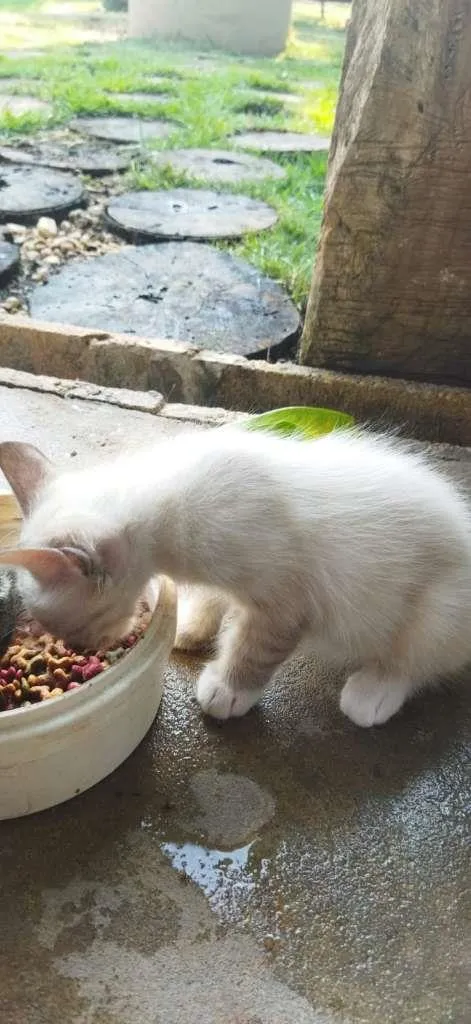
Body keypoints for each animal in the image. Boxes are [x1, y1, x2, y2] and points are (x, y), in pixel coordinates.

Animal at [0, 432, 468, 729]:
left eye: (70, 629)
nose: (81, 649)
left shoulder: (284, 597)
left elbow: (253, 647)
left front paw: (228, 690)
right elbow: (214, 599)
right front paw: (190, 627)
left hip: (436, 610)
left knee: (415, 658)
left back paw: (372, 693)